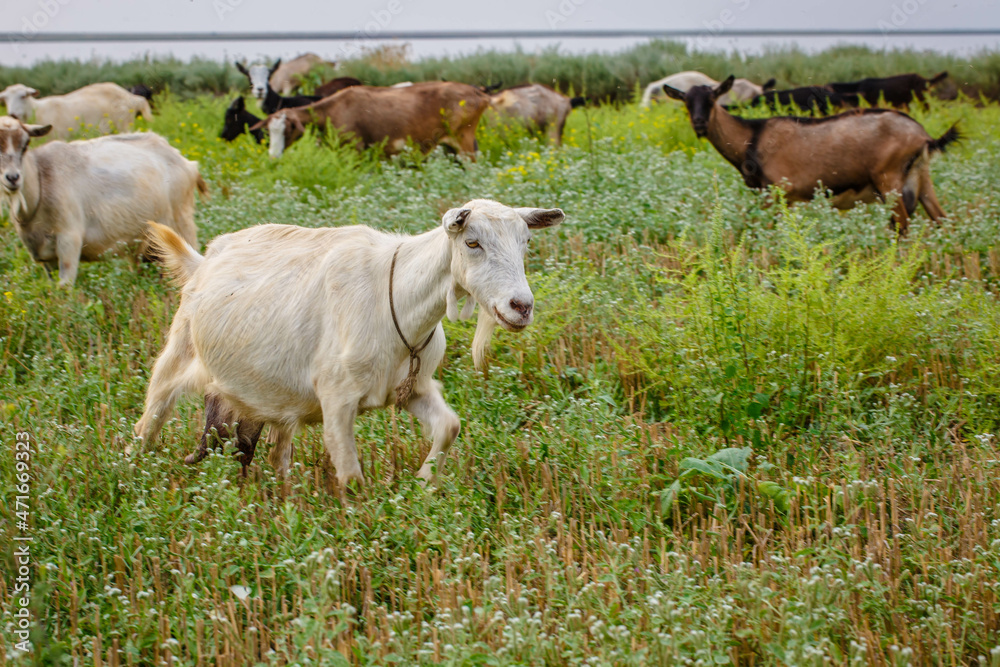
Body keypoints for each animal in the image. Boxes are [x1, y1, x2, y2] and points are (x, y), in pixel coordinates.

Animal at [0, 83, 153, 140]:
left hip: (124, 125)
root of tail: (131, 97)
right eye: (5, 99)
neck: (36, 110)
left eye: (23, 96)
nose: (12, 114)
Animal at [0, 116, 205, 285]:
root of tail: (185, 162)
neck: (42, 179)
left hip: (181, 223)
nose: (13, 178)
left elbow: (65, 288)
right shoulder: (45, 257)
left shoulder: (69, 241)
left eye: (25, 144)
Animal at [134, 199, 564, 487]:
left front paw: (423, 485)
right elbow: (352, 475)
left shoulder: (414, 388)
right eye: (472, 243)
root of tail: (203, 260)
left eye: (525, 242)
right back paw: (130, 470)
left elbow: (449, 427)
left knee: (277, 452)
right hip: (177, 356)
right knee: (148, 421)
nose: (521, 306)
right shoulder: (337, 401)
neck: (395, 296)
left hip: (274, 398)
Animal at [253, 82, 491, 159]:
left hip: (464, 142)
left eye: (288, 129)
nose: (273, 155)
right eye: (268, 132)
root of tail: (478, 92)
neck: (333, 109)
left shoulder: (356, 150)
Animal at [663, 76, 959, 234]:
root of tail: (923, 136)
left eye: (712, 99)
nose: (699, 123)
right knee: (942, 219)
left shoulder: (777, 192)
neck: (752, 136)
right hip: (921, 178)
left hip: (889, 180)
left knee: (902, 224)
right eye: (686, 102)